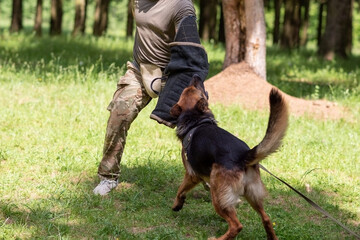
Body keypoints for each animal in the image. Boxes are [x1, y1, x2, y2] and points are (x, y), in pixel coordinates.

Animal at [170, 75, 288, 240]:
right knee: (266, 218)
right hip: (252, 195)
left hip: (219, 197)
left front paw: (177, 205)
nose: (196, 76)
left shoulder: (192, 174)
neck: (195, 120)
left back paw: (218, 238)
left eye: (193, 88)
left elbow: (181, 190)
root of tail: (243, 156)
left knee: (236, 226)